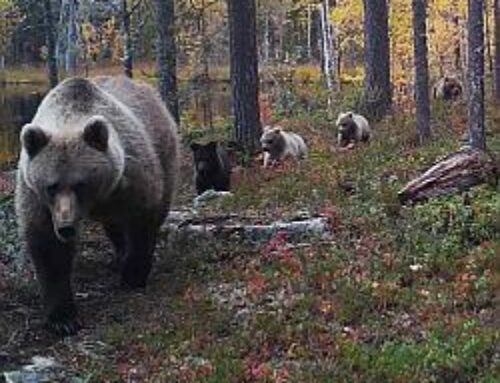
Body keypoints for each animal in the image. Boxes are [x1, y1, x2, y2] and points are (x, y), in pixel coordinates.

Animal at [15, 76, 179, 336]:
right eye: (51, 186)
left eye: (80, 184)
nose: (66, 227)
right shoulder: (35, 196)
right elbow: (48, 247)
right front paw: (63, 318)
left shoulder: (131, 176)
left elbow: (142, 220)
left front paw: (132, 276)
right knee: (114, 226)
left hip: (164, 148)